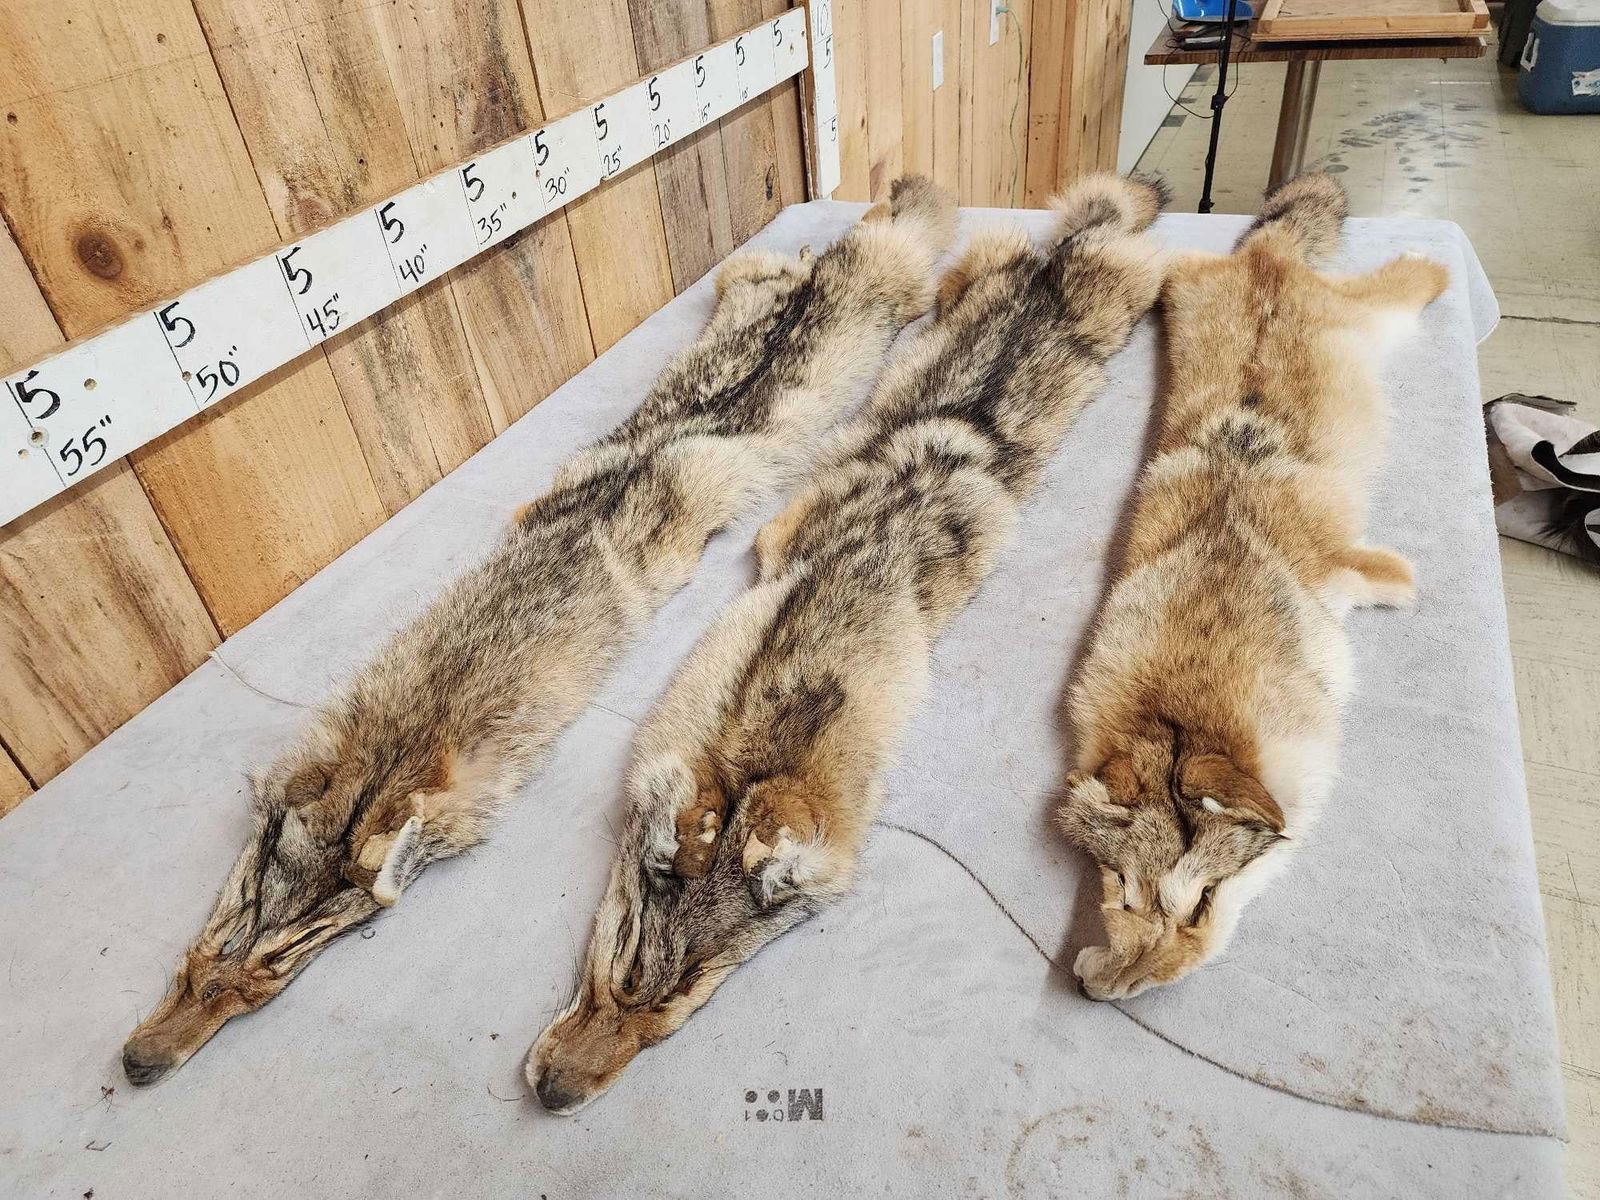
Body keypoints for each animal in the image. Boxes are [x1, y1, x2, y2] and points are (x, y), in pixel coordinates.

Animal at [120, 176, 958, 1086]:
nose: (136, 1064)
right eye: (225, 934)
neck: (414, 730)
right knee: (788, 264)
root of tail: (840, 270)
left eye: (276, 968)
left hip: (885, 295)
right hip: (752, 288)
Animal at [528, 173, 1169, 1113]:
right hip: (976, 271)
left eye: (674, 1010)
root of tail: (1063, 259)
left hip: (1117, 292)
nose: (551, 1097)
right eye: (620, 974)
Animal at [1057, 173, 1450, 1002]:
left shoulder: (1365, 573)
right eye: (1121, 893)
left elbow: (1397, 577)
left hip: (1365, 315)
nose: (1098, 995)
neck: (1185, 709)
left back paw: (1432, 261)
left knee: (1401, 280)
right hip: (1184, 282)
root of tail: (1266, 260)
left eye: (1204, 901)